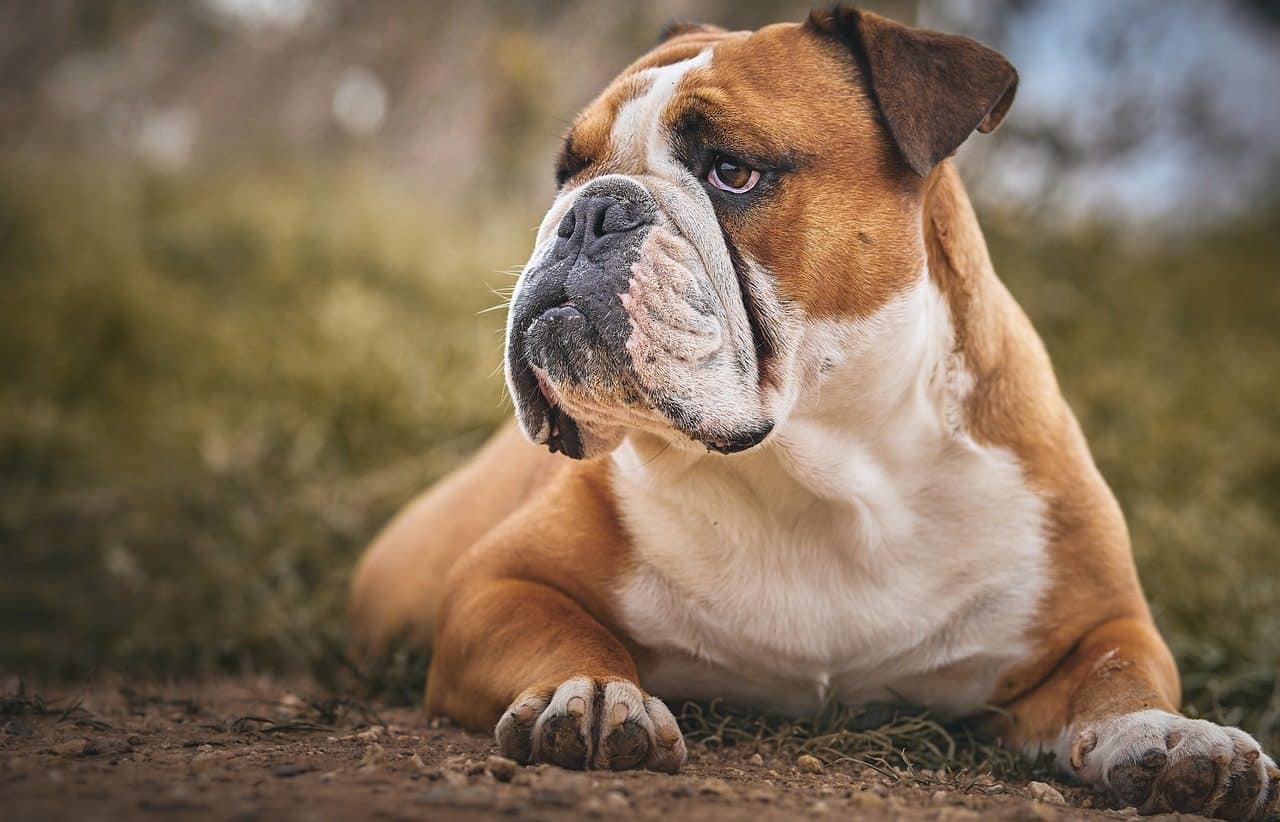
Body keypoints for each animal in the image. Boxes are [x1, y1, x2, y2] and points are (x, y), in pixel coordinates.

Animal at [350, 8, 1280, 819]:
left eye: (732, 171)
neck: (826, 467)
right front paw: (593, 695)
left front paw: (1181, 740)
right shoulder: (494, 585)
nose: (589, 210)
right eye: (566, 172)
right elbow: (568, 637)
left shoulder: (1099, 622)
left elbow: (1122, 676)